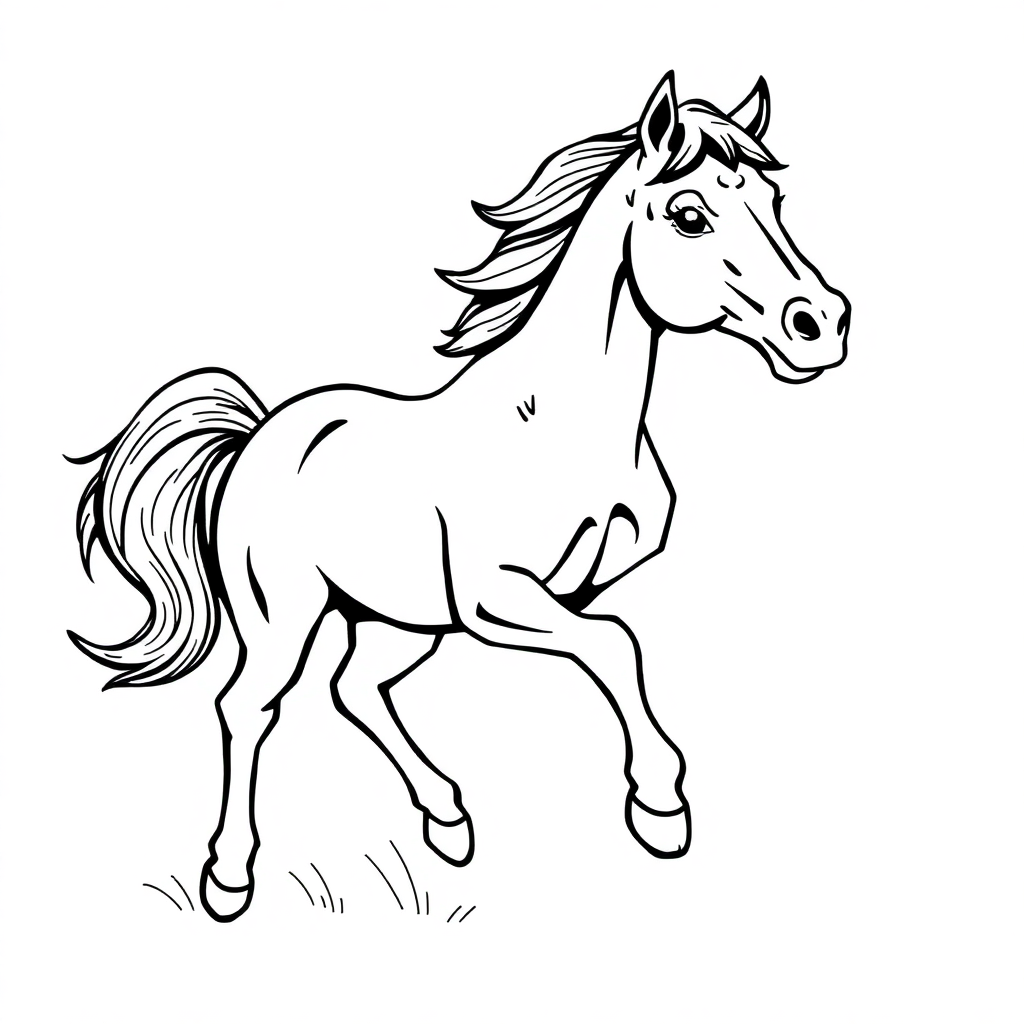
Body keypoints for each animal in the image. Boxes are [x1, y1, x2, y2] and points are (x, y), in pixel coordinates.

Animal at [68, 71, 850, 922]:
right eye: (689, 216)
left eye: (775, 201)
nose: (820, 324)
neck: (561, 425)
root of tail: (256, 439)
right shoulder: (492, 598)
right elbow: (615, 643)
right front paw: (660, 809)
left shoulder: (555, 590)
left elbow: (609, 638)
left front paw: (654, 805)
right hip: (285, 617)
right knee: (248, 708)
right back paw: (230, 878)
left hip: (399, 617)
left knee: (355, 687)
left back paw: (447, 821)